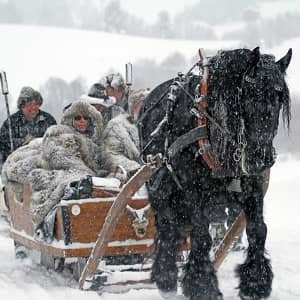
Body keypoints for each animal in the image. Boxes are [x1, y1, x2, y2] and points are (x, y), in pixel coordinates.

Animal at [139, 47, 292, 300]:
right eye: (250, 95)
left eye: (279, 97)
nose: (263, 158)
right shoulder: (190, 191)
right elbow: (201, 236)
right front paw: (202, 286)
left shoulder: (253, 189)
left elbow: (258, 230)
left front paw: (255, 284)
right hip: (160, 186)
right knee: (168, 227)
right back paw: (166, 277)